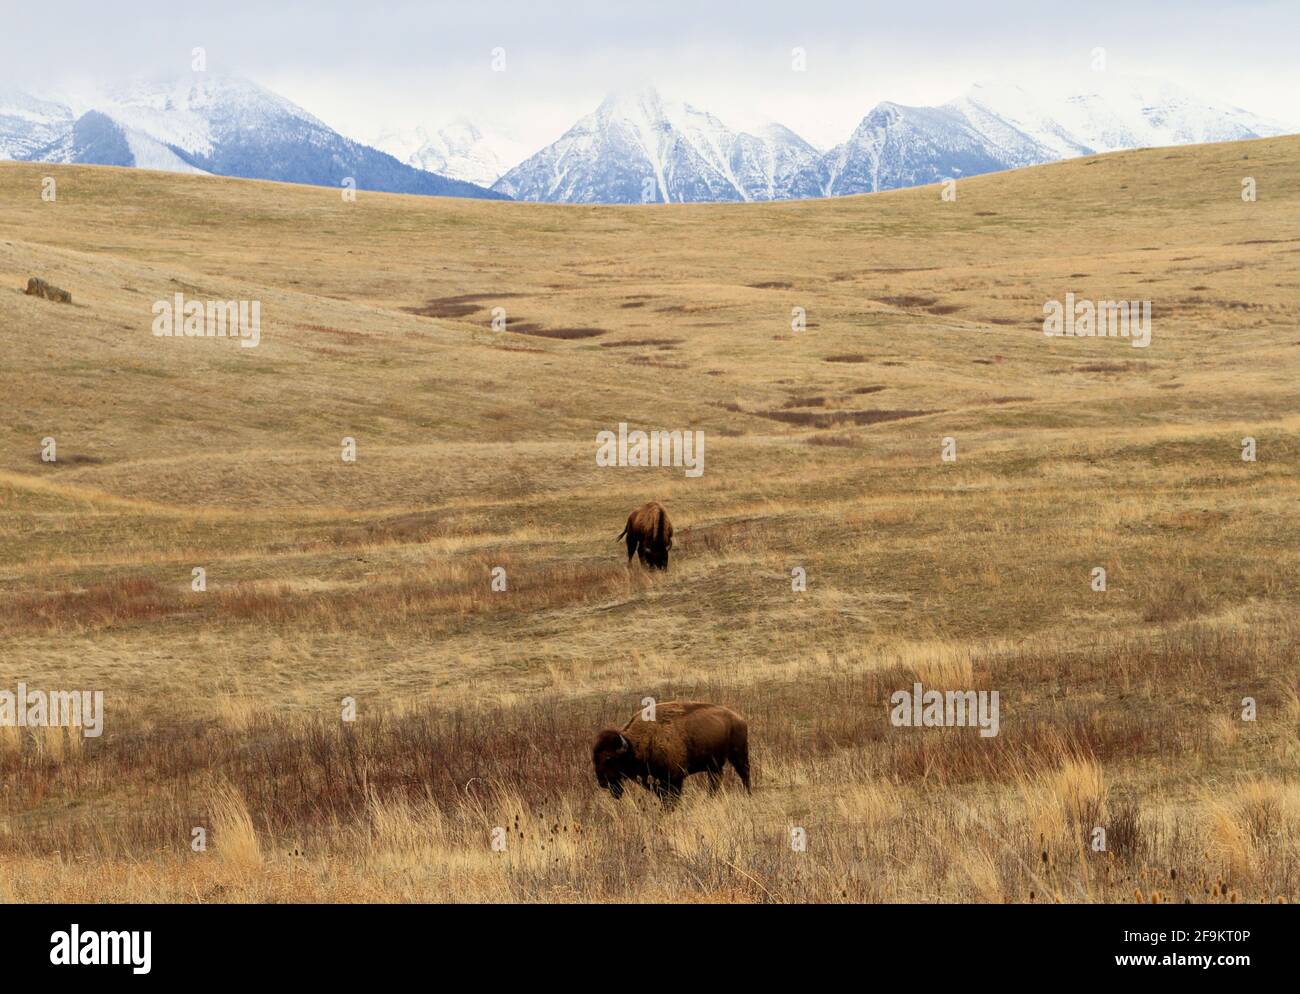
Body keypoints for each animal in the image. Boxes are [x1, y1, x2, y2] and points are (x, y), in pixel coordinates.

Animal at [592, 696, 754, 805]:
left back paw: (748, 795)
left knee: (744, 774)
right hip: (714, 765)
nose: (602, 782)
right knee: (715, 781)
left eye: (608, 758)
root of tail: (739, 719)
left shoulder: (674, 779)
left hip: (738, 754)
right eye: (594, 759)